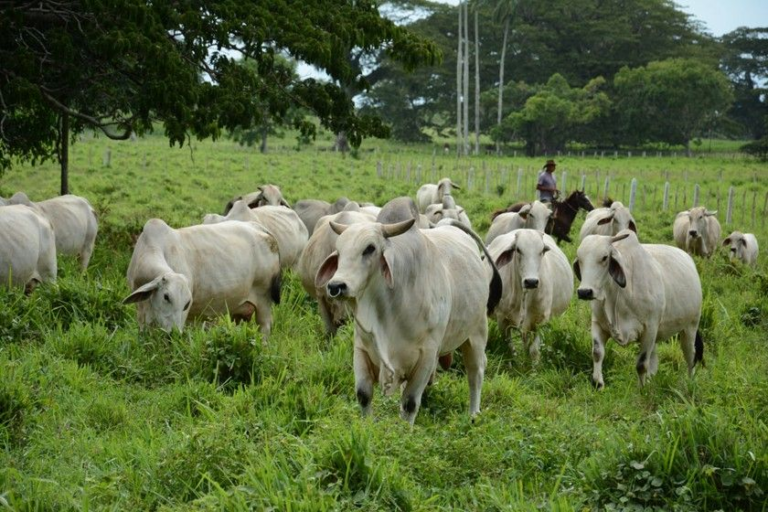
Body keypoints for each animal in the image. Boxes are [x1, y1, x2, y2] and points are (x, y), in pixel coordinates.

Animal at [123, 218, 282, 338]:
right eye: (166, 297)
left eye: (187, 304)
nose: (175, 334)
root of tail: (259, 227)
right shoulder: (141, 313)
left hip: (264, 301)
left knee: (265, 327)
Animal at [316, 198, 500, 426]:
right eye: (339, 251)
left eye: (370, 248)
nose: (336, 286)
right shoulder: (362, 349)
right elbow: (363, 394)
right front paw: (367, 426)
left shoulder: (426, 356)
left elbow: (410, 402)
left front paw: (405, 430)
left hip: (476, 332)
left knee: (476, 373)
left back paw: (474, 413)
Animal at [488, 228, 572, 360]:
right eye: (518, 249)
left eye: (542, 250)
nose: (531, 282)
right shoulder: (502, 319)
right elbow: (509, 346)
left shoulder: (542, 321)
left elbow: (534, 350)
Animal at [572, 231, 704, 388]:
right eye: (579, 259)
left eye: (604, 257)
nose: (584, 292)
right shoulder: (598, 324)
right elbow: (597, 353)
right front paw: (599, 384)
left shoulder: (649, 328)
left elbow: (641, 364)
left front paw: (642, 389)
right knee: (654, 360)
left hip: (690, 326)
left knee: (690, 355)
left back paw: (690, 383)